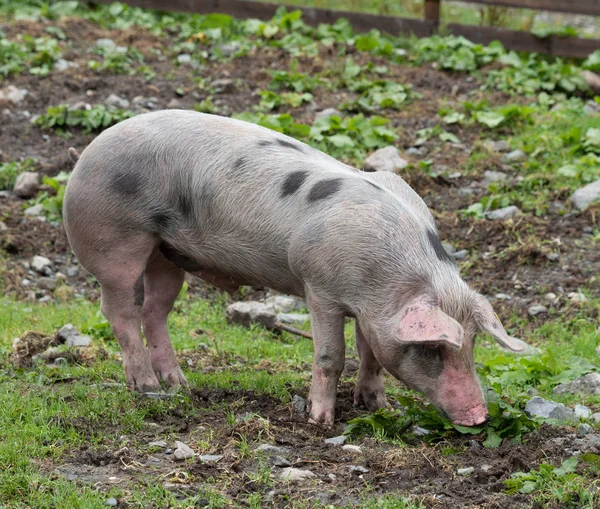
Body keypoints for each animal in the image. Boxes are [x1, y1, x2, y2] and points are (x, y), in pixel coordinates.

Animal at [63, 110, 524, 424]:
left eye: (471, 344)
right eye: (432, 349)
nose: (479, 415)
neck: (386, 281)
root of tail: (87, 153)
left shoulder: (371, 309)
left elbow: (371, 353)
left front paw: (381, 407)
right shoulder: (319, 288)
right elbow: (331, 355)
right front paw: (320, 421)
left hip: (166, 252)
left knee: (155, 310)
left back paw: (181, 385)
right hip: (117, 243)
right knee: (120, 312)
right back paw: (148, 389)